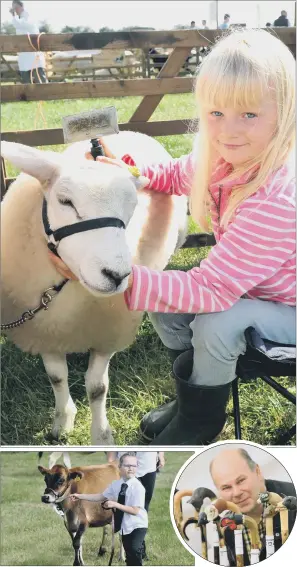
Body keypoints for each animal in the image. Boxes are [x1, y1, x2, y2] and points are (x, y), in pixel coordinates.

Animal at [1, 131, 187, 446]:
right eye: (65, 201)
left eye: (133, 207)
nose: (116, 275)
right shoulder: (44, 328)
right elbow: (57, 378)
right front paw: (62, 422)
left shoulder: (106, 333)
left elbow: (97, 388)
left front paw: (101, 436)